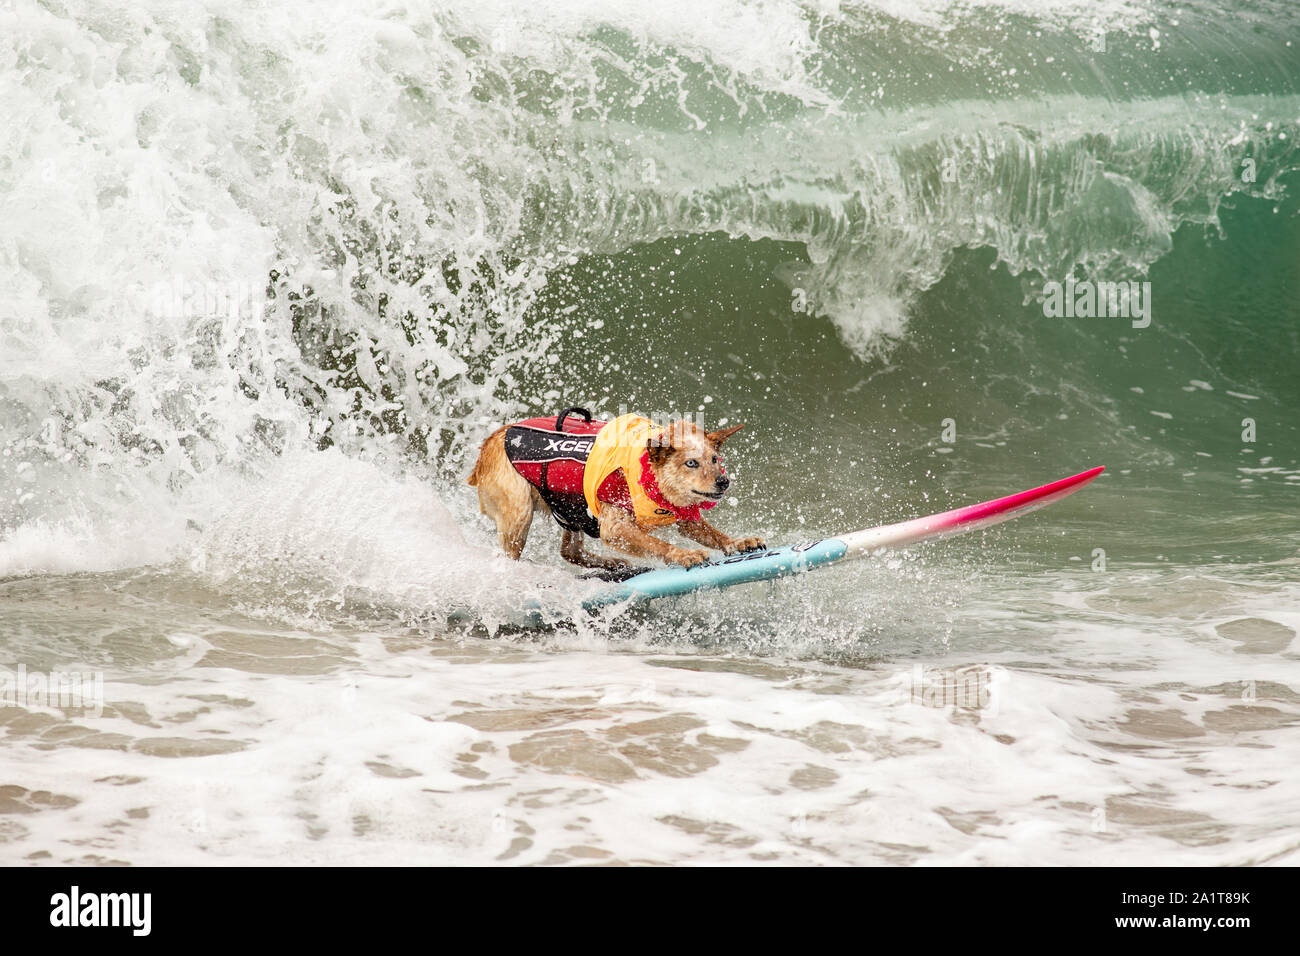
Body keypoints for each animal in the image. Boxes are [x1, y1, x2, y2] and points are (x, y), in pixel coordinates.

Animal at [467, 408, 764, 572]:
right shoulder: (615, 527)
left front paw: (738, 542)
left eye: (715, 459)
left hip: (571, 511)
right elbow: (656, 543)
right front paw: (684, 554)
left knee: (569, 552)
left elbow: (713, 534)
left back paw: (612, 563)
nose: (723, 481)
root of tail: (491, 441)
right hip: (520, 513)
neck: (650, 478)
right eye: (691, 463)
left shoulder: (685, 517)